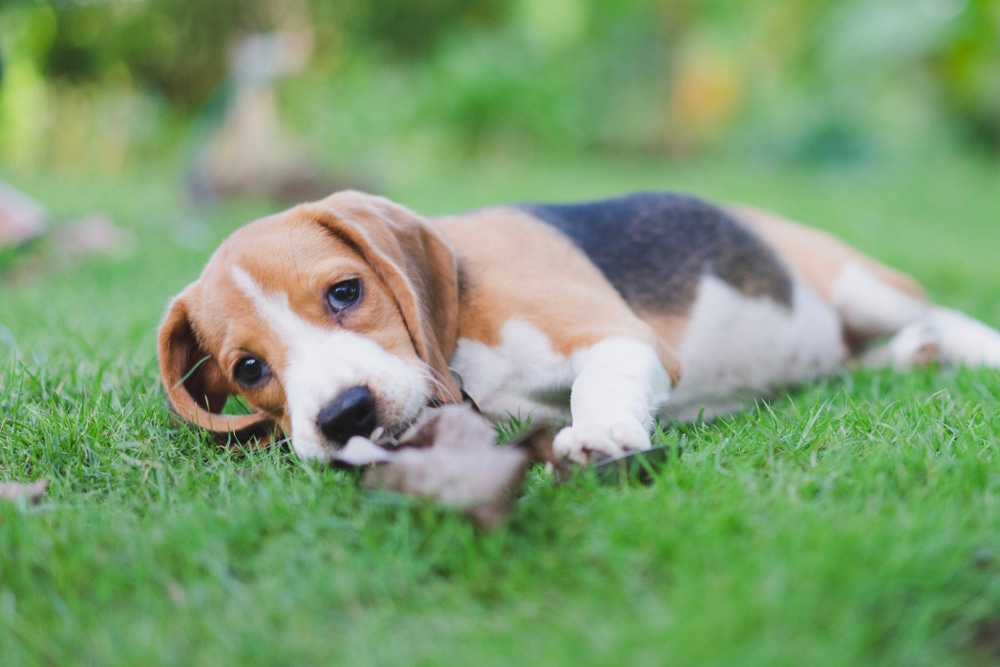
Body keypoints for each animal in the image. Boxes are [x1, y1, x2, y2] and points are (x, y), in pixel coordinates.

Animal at [154, 192, 1000, 464]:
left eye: (344, 290)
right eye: (249, 370)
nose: (343, 415)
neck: (461, 357)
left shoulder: (623, 339)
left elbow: (601, 381)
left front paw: (600, 435)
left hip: (860, 284)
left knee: (939, 311)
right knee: (855, 362)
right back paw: (909, 359)